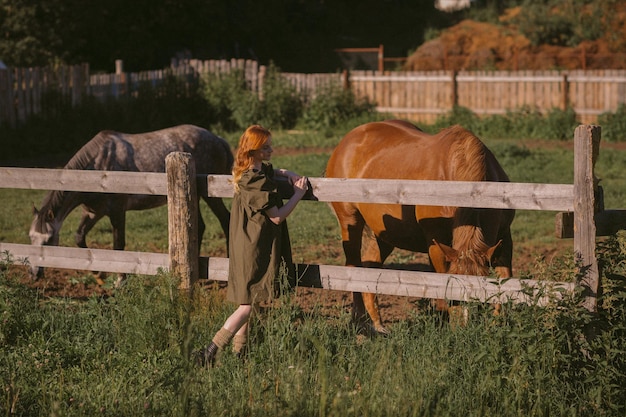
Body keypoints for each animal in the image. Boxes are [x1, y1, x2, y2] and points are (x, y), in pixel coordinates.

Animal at [28, 123, 233, 280]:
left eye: (48, 240)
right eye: (30, 237)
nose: (34, 273)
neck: (99, 168)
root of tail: (218, 139)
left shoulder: (117, 212)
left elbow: (119, 246)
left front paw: (120, 281)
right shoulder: (93, 212)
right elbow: (79, 237)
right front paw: (98, 273)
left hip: (210, 195)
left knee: (225, 220)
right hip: (194, 198)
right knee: (200, 227)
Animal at [324, 118, 516, 334]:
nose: (466, 330)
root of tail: (348, 140)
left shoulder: (504, 239)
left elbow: (506, 280)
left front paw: (498, 323)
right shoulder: (437, 245)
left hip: (386, 233)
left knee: (370, 266)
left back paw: (377, 324)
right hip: (350, 222)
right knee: (353, 266)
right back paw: (360, 320)